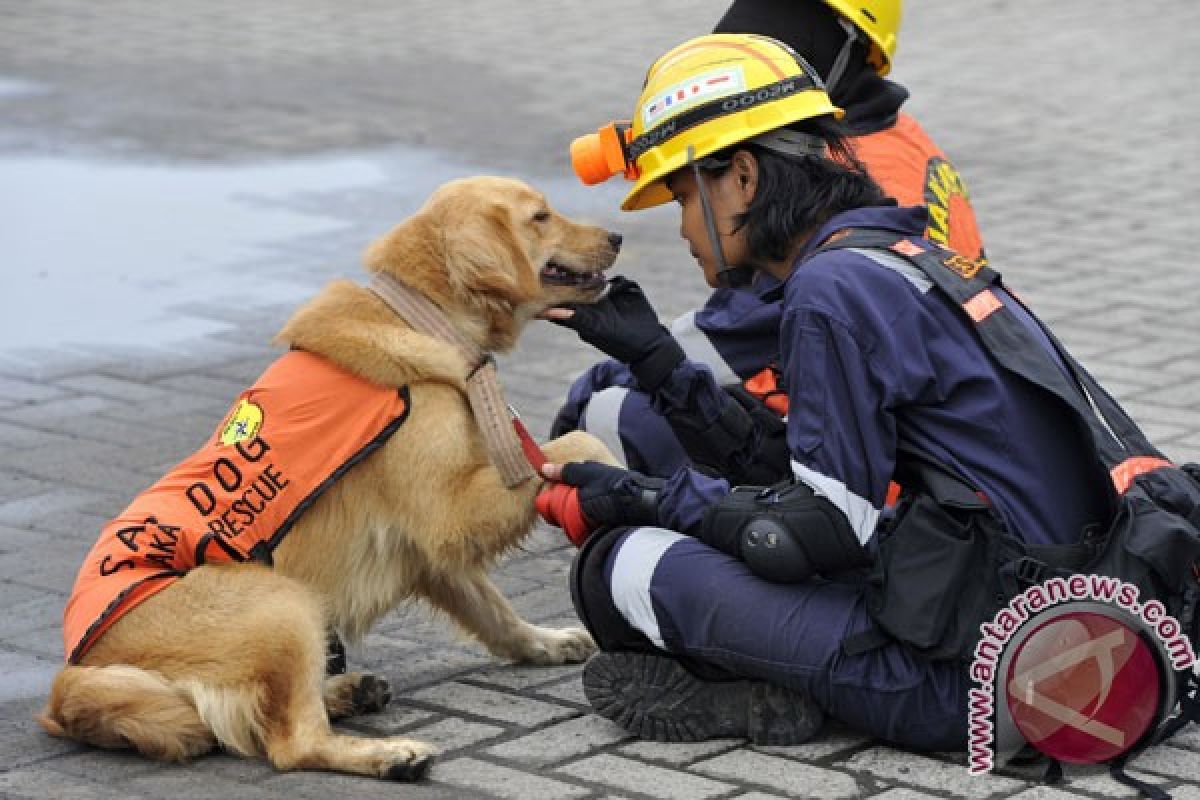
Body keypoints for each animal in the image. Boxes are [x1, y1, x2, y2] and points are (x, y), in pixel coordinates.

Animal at [37, 176, 619, 782]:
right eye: (541, 217)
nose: (619, 237)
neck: (421, 315)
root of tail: (72, 684)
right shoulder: (447, 514)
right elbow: (577, 444)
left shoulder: (429, 547)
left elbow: (497, 613)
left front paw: (545, 643)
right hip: (280, 601)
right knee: (290, 742)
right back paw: (389, 754)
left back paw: (348, 691)